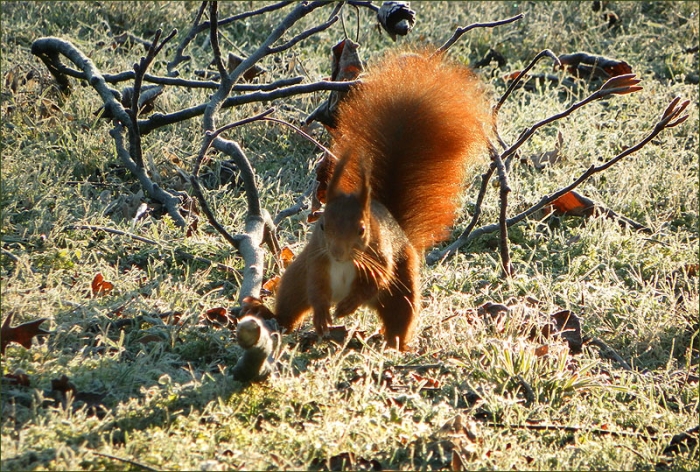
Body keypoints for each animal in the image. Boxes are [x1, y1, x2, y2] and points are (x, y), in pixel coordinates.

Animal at [259, 51, 491, 350]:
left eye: (362, 229)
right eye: (322, 226)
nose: (338, 253)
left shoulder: (381, 257)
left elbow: (377, 280)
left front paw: (346, 307)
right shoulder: (315, 259)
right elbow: (316, 290)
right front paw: (322, 316)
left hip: (401, 291)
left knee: (398, 317)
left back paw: (395, 345)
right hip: (293, 281)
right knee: (292, 302)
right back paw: (278, 323)